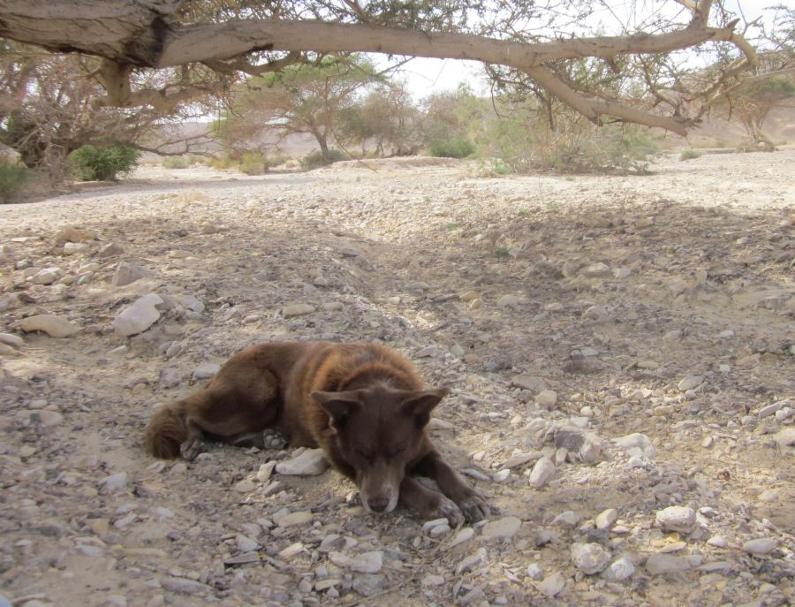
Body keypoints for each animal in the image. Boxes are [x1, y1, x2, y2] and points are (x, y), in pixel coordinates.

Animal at [144, 344, 492, 524]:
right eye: (361, 453)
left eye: (398, 451)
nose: (378, 505)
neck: (372, 376)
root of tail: (224, 367)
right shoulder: (344, 462)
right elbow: (406, 483)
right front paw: (437, 503)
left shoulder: (422, 446)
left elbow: (445, 468)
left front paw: (469, 497)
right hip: (256, 392)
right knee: (191, 411)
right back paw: (193, 441)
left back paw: (265, 439)